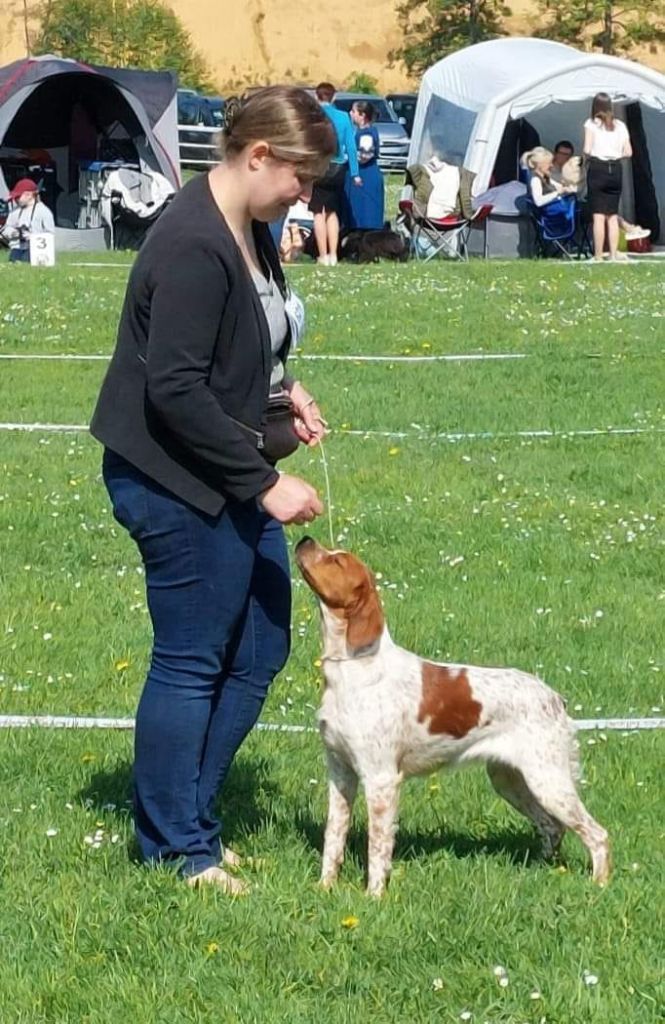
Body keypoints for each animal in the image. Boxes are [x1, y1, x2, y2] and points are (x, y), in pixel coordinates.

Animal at [297, 536, 610, 897]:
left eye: (337, 561)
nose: (305, 539)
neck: (353, 669)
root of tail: (555, 698)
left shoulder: (381, 779)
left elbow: (377, 848)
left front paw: (374, 896)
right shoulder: (340, 772)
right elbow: (333, 837)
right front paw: (324, 887)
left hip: (547, 779)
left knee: (597, 834)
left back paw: (600, 884)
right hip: (510, 779)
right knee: (552, 826)